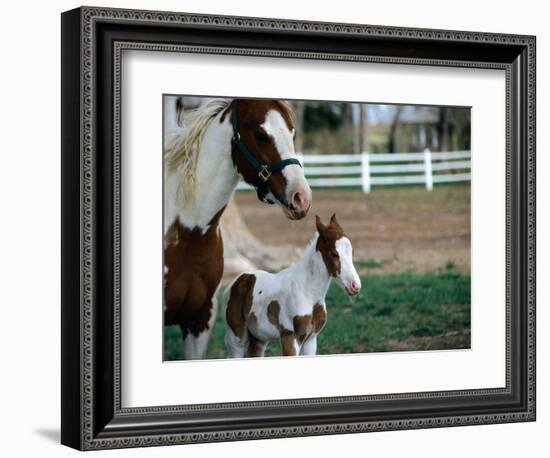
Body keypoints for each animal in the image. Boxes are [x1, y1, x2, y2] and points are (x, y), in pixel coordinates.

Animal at [224, 215, 362, 358]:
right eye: (334, 254)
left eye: (351, 252)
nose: (355, 285)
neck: (307, 292)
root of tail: (236, 281)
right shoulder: (289, 336)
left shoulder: (311, 340)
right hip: (237, 337)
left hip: (259, 339)